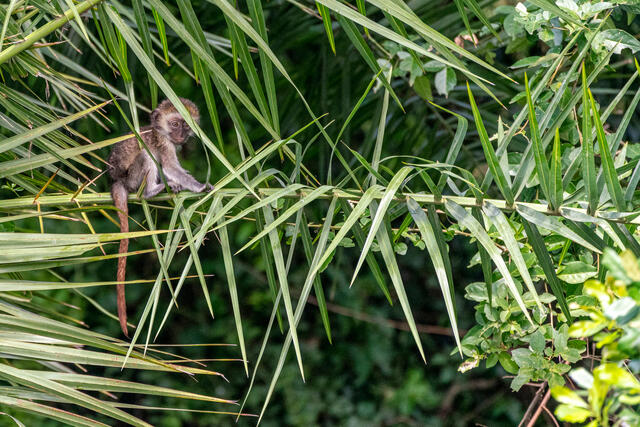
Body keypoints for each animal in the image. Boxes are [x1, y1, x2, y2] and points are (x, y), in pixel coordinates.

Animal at [108, 98, 210, 337]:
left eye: (185, 125)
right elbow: (170, 166)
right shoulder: (163, 143)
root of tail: (118, 181)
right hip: (133, 177)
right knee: (147, 155)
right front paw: (199, 187)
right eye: (174, 124)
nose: (181, 134)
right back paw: (150, 192)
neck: (161, 132)